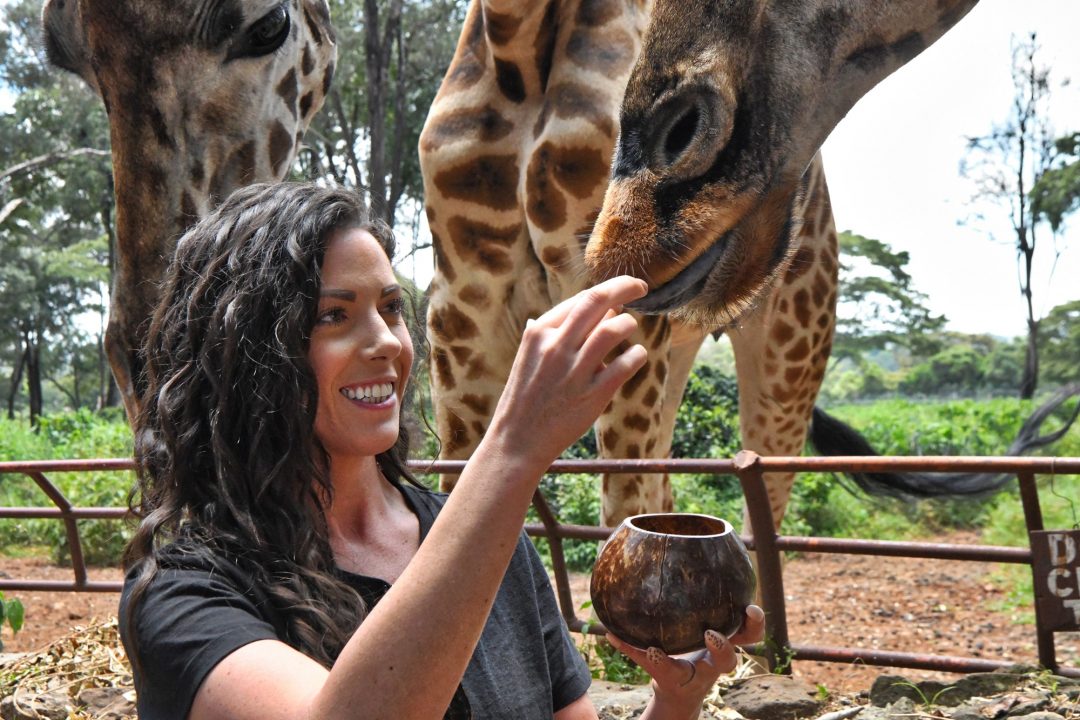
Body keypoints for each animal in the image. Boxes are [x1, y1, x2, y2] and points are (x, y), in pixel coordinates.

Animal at [414, 0, 989, 528]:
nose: (633, 229)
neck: (518, 46)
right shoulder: (462, 310)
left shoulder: (622, 310)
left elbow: (618, 515)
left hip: (793, 351)